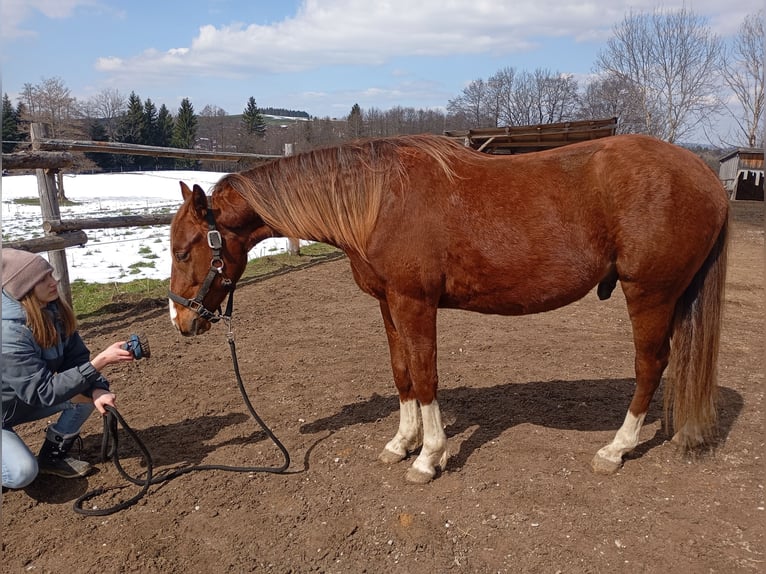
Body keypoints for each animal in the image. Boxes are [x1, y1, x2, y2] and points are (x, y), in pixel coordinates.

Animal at [168, 134, 728, 484]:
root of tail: (705, 175)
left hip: (649, 293)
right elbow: (402, 373)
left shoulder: (415, 303)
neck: (379, 202)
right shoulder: (389, 304)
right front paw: (402, 442)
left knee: (650, 365)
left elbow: (426, 375)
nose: (181, 320)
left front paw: (429, 457)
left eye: (184, 249)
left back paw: (616, 449)